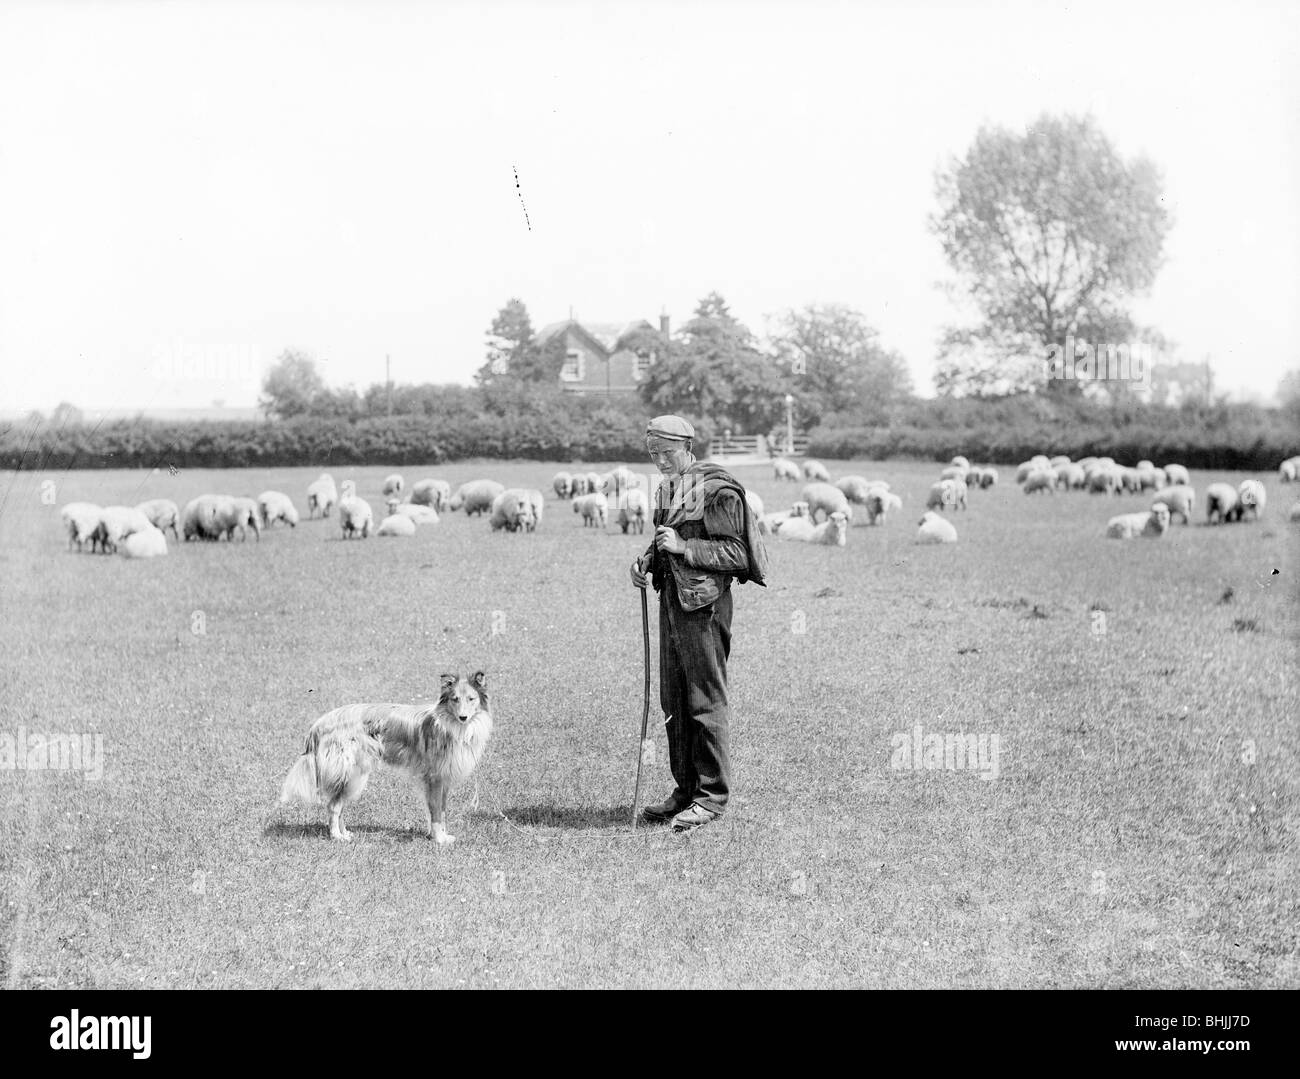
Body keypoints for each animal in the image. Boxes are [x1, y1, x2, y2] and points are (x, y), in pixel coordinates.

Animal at [279, 676, 491, 842]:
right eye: (455, 700)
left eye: (471, 699)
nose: (463, 717)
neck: (448, 724)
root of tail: (319, 723)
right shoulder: (434, 778)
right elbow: (437, 812)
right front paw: (439, 839)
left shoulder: (443, 780)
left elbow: (441, 811)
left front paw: (440, 836)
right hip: (352, 772)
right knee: (333, 806)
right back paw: (337, 836)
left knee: (338, 805)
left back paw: (345, 833)